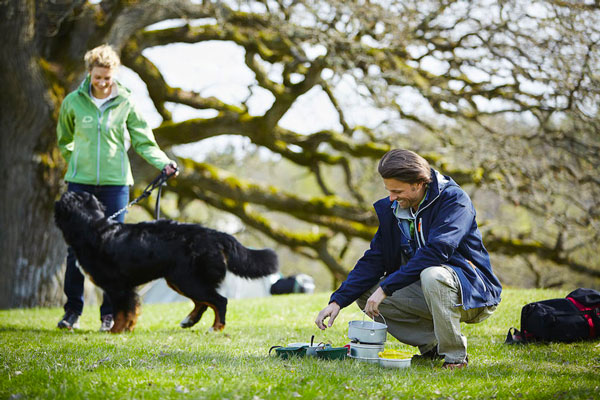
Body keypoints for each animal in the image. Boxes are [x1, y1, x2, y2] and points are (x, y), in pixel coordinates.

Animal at [54, 190, 278, 332]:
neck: (91, 227)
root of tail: (215, 234)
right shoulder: (127, 287)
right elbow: (131, 310)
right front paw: (128, 329)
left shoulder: (117, 286)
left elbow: (122, 311)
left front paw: (116, 331)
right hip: (178, 279)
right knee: (204, 302)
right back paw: (189, 321)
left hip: (187, 279)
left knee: (218, 301)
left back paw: (215, 328)